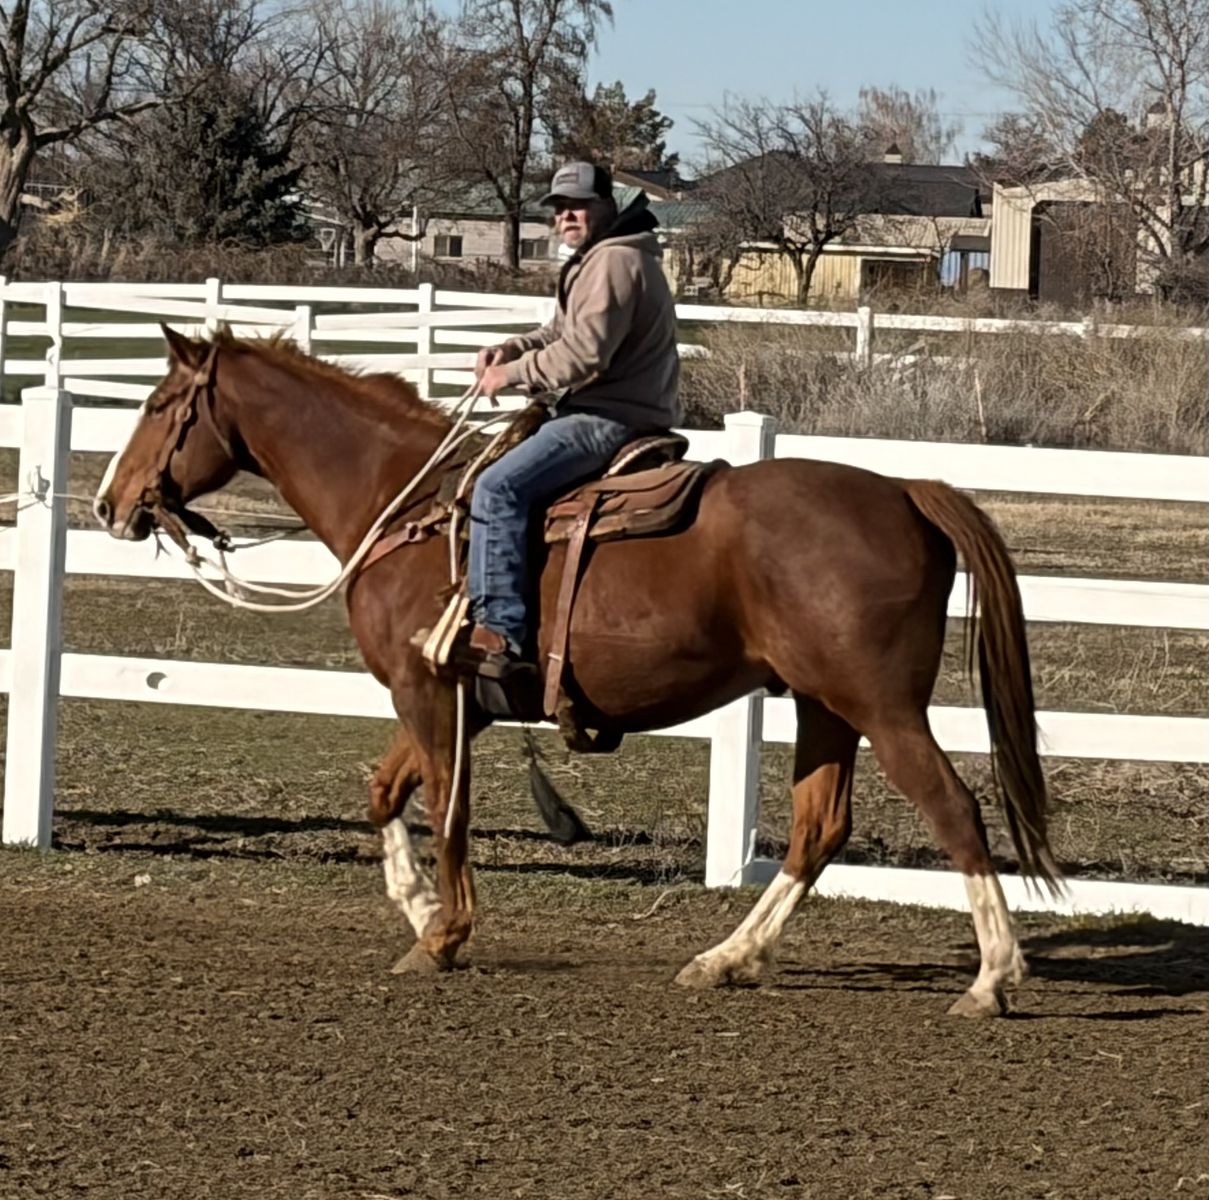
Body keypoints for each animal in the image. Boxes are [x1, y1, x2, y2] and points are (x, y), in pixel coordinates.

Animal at [93, 326, 1060, 1018]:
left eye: (158, 403)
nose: (109, 504)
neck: (405, 506)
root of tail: (904, 492)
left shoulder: (426, 693)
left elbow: (446, 809)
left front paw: (444, 933)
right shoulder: (456, 701)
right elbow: (385, 792)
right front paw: (420, 910)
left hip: (882, 707)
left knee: (953, 809)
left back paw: (990, 980)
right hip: (825, 708)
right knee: (817, 830)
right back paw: (727, 958)